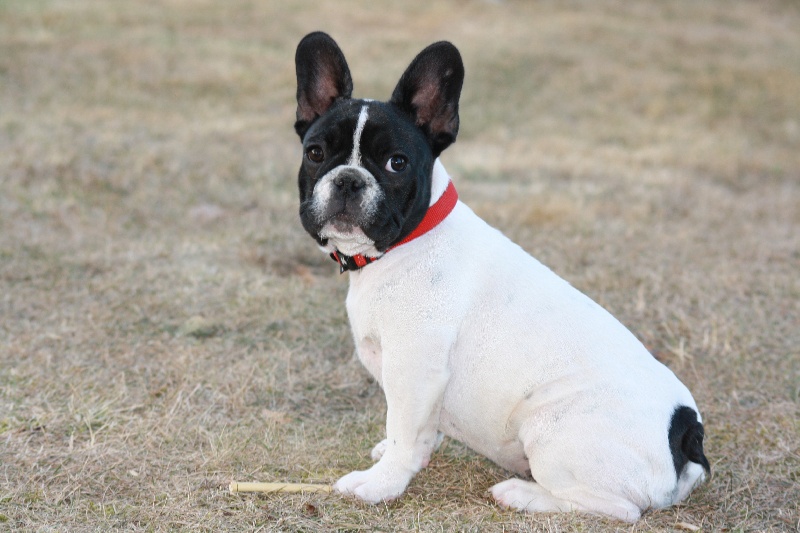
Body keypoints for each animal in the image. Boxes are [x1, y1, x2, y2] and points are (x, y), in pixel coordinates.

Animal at [290, 31, 708, 520]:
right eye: (315, 153)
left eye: (396, 163)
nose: (349, 180)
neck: (406, 243)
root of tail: (685, 434)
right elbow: (418, 432)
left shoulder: (414, 369)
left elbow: (403, 431)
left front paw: (381, 484)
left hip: (551, 431)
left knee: (616, 508)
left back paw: (524, 494)